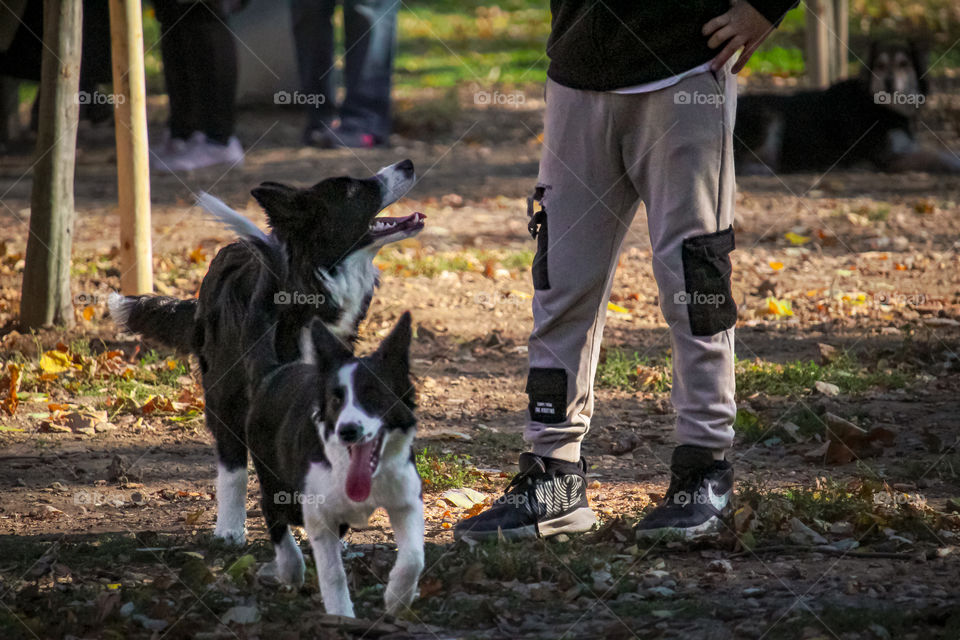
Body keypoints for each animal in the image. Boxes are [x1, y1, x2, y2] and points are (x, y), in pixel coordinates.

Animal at [736, 41, 960, 174]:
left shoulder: (905, 146)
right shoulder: (886, 159)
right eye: (879, 66)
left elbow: (939, 150)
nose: (888, 82)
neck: (879, 106)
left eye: (904, 64)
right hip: (768, 114)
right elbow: (934, 156)